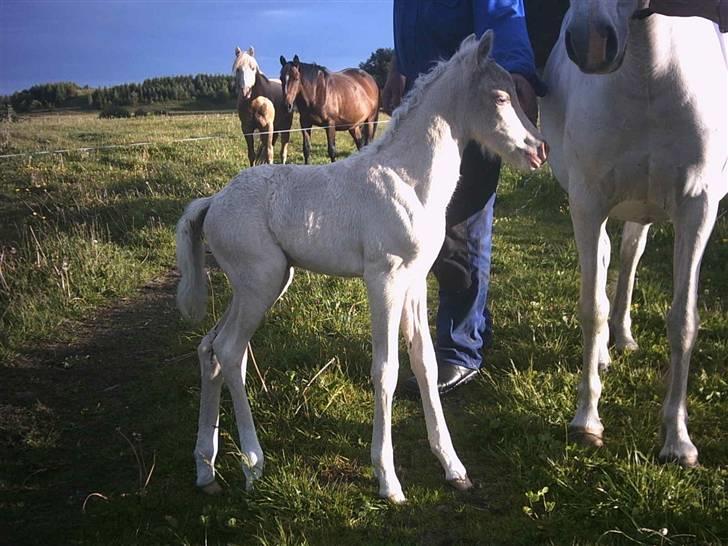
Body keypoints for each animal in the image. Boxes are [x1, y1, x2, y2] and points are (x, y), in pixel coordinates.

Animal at [176, 32, 546, 503]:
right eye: (500, 97)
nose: (539, 150)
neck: (407, 179)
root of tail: (213, 202)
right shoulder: (383, 280)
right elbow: (385, 370)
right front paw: (388, 479)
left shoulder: (415, 282)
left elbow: (425, 362)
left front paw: (453, 467)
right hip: (261, 282)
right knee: (228, 350)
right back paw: (253, 464)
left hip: (257, 284)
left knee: (211, 350)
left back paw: (206, 468)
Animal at [540, 0, 727, 466]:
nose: (590, 43)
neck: (648, 70)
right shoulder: (588, 203)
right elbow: (591, 308)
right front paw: (587, 420)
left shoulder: (698, 208)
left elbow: (683, 321)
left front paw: (678, 440)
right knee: (610, 260)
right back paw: (605, 352)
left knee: (629, 257)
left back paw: (622, 338)